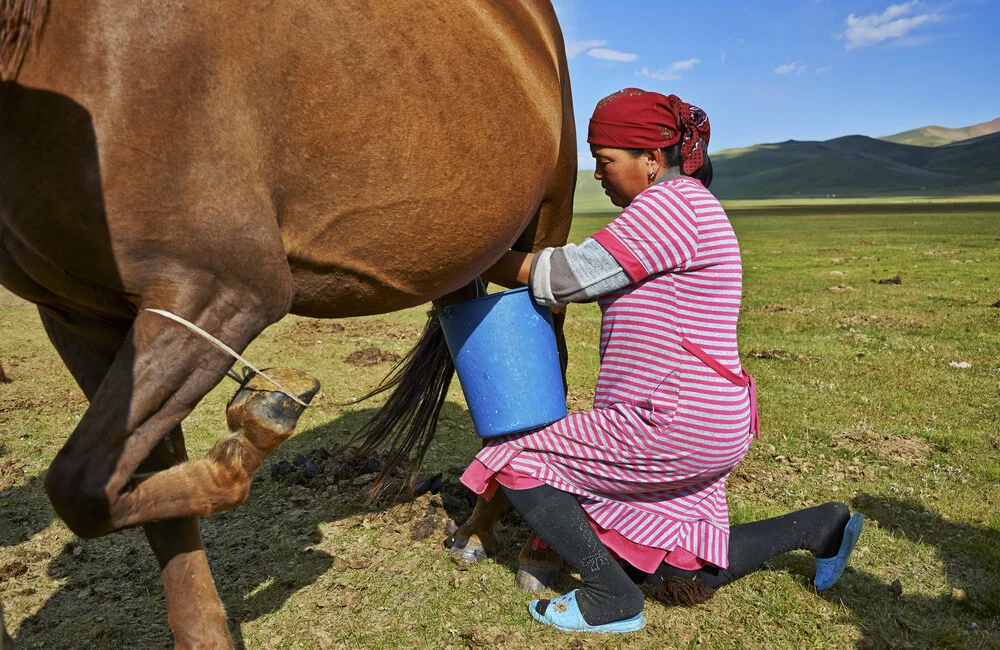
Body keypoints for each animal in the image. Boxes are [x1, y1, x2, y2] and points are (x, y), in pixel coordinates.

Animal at [1, 0, 572, 644]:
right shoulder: (79, 318)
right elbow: (126, 486)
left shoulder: (222, 289)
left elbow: (81, 486)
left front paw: (255, 430)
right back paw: (477, 529)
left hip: (549, 220)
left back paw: (529, 549)